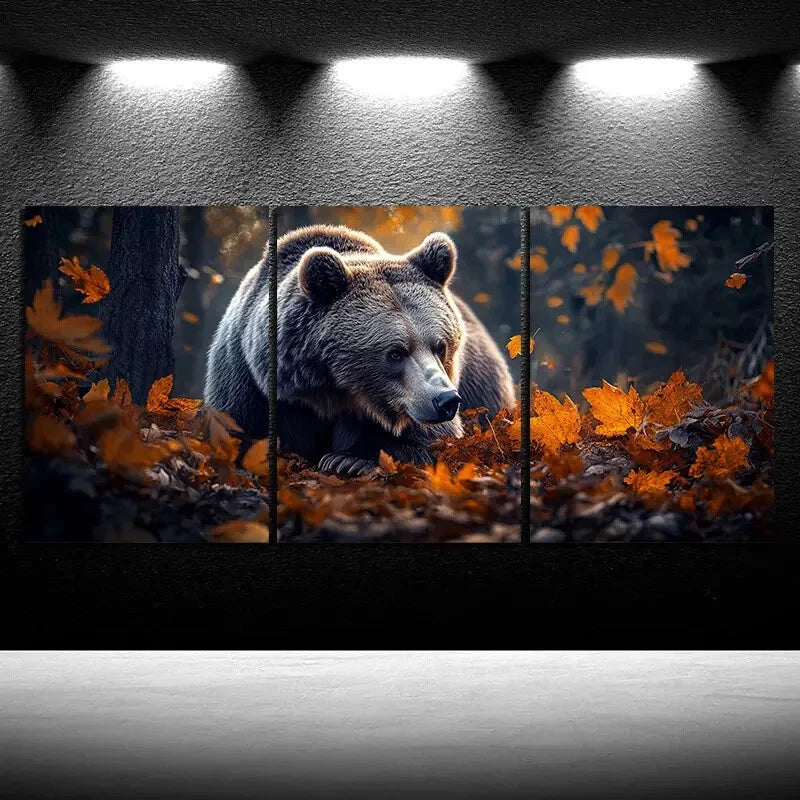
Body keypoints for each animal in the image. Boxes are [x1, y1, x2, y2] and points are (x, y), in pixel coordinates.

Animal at [205, 224, 515, 476]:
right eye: (396, 352)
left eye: (440, 346)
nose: (446, 400)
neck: (330, 392)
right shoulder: (250, 380)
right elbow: (237, 432)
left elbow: (430, 440)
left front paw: (349, 460)